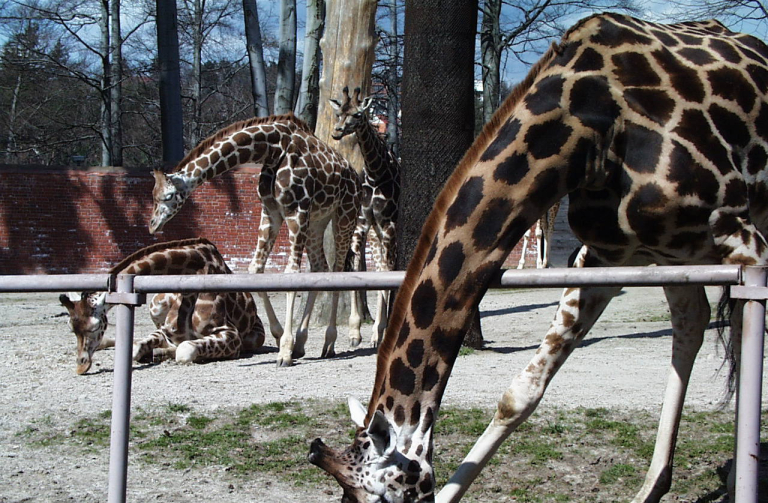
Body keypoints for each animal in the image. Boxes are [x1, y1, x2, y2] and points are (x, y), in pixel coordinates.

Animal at [58, 239, 266, 374]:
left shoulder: (230, 334)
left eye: (94, 327)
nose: (81, 366)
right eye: (70, 328)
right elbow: (135, 348)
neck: (193, 271)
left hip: (255, 338)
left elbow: (184, 350)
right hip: (155, 305)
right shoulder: (166, 331)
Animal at [150, 113, 364, 366]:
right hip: (318, 220)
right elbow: (255, 270)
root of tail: (356, 177)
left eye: (168, 196)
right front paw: (281, 336)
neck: (272, 149)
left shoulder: (296, 210)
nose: (152, 225)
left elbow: (291, 274)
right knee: (320, 266)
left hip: (345, 214)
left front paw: (284, 352)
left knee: (339, 267)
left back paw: (332, 341)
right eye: (152, 195)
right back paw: (302, 342)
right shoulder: (271, 212)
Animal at [328, 86, 402, 348]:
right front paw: (354, 332)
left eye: (358, 114)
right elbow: (353, 265)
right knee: (379, 265)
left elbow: (387, 272)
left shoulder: (388, 223)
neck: (376, 172)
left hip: (388, 230)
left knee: (389, 266)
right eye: (339, 112)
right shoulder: (362, 223)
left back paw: (382, 329)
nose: (337, 131)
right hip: (376, 234)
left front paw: (377, 332)